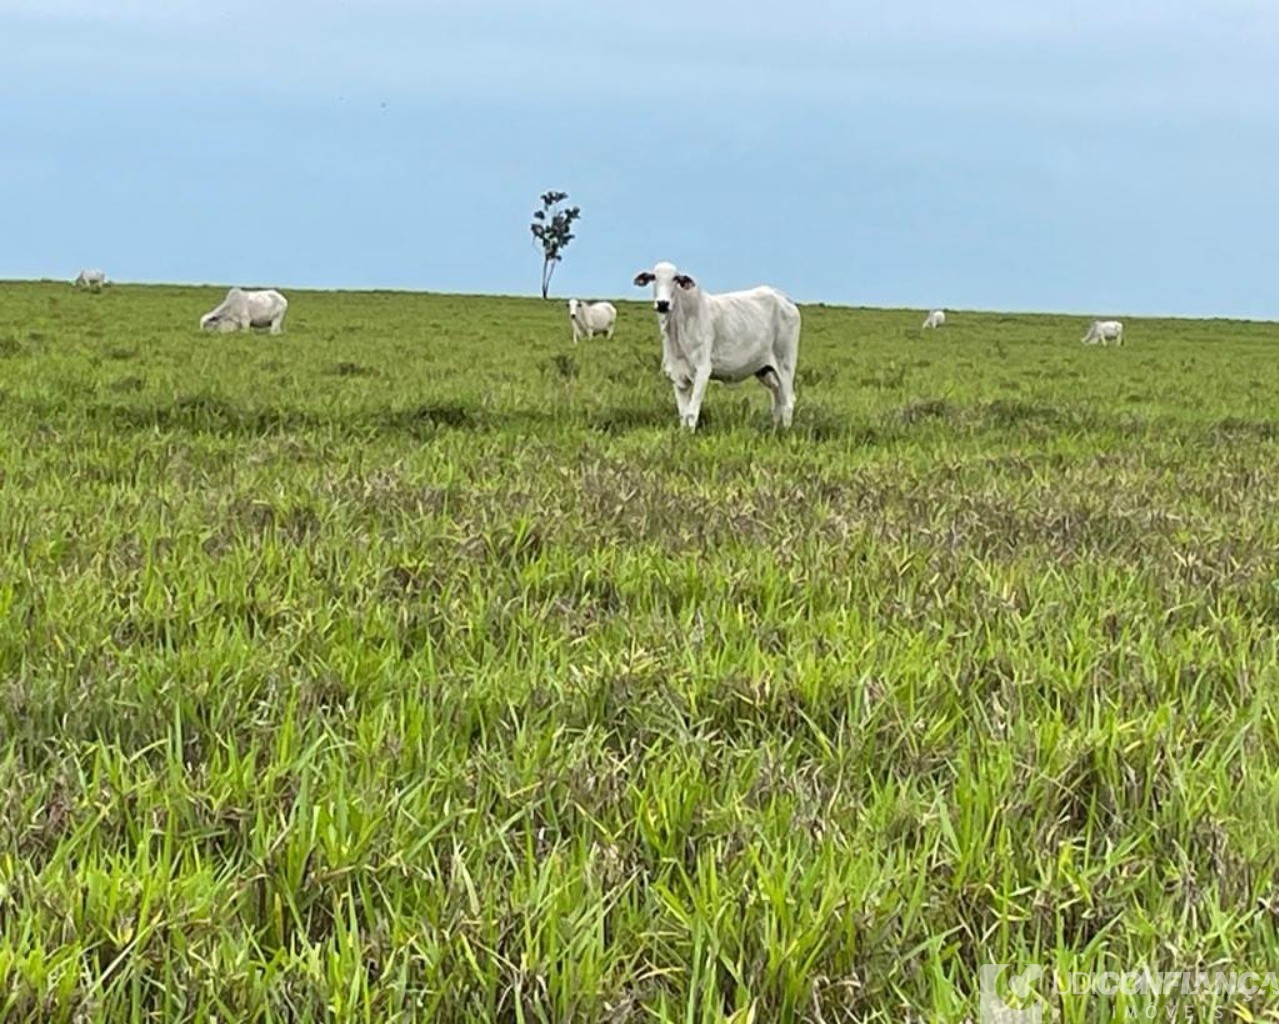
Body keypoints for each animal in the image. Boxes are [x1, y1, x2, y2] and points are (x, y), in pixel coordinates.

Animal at [631, 259, 798, 432]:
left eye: (675, 278)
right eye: (654, 277)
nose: (663, 304)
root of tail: (784, 299)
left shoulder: (703, 370)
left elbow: (692, 412)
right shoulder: (678, 377)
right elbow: (683, 414)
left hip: (785, 364)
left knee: (788, 401)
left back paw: (785, 431)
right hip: (765, 369)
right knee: (777, 398)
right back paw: (775, 430)